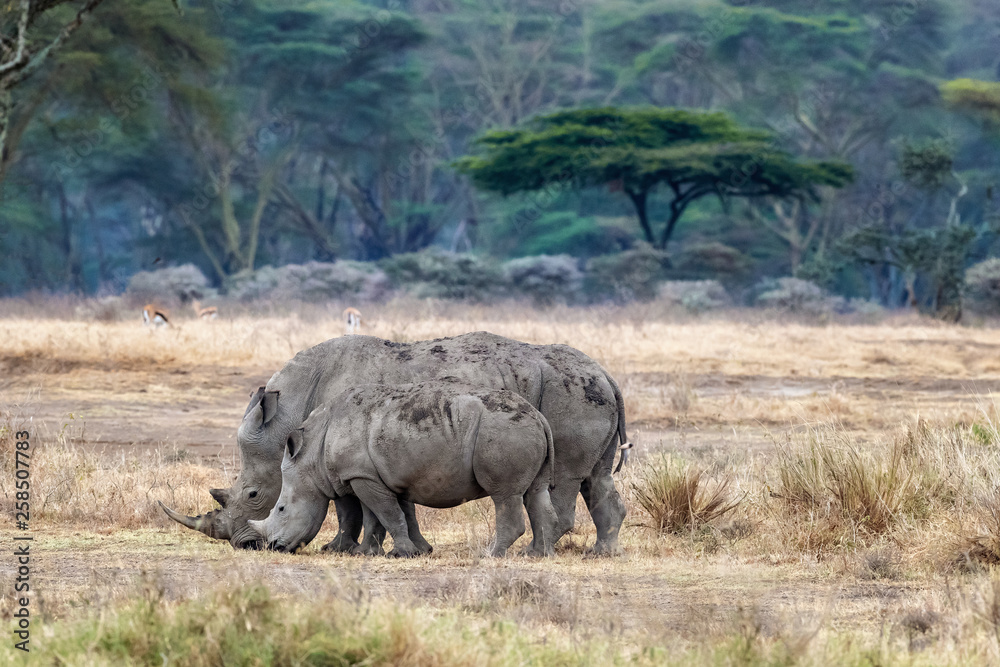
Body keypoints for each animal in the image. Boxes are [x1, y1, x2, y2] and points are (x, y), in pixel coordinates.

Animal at [249, 380, 560, 560]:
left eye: (281, 509)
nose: (273, 547)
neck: (312, 453)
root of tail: (539, 415)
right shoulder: (373, 475)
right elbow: (385, 515)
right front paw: (372, 553)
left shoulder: (363, 476)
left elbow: (387, 514)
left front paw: (401, 554)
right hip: (521, 428)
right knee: (536, 492)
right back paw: (536, 556)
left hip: (504, 429)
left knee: (504, 496)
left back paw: (490, 556)